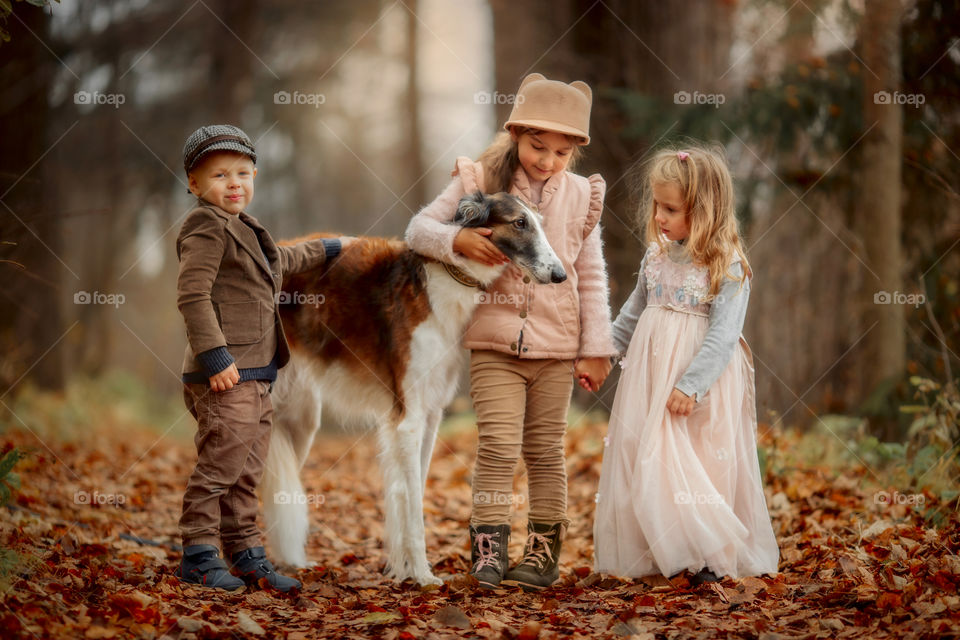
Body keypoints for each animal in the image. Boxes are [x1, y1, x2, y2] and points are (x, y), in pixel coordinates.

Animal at [258, 192, 568, 588]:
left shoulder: (431, 415)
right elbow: (414, 507)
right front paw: (422, 575)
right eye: (519, 223)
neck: (446, 282)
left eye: (539, 222)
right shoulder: (409, 418)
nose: (560, 275)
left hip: (298, 422)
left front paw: (405, 569)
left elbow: (412, 495)